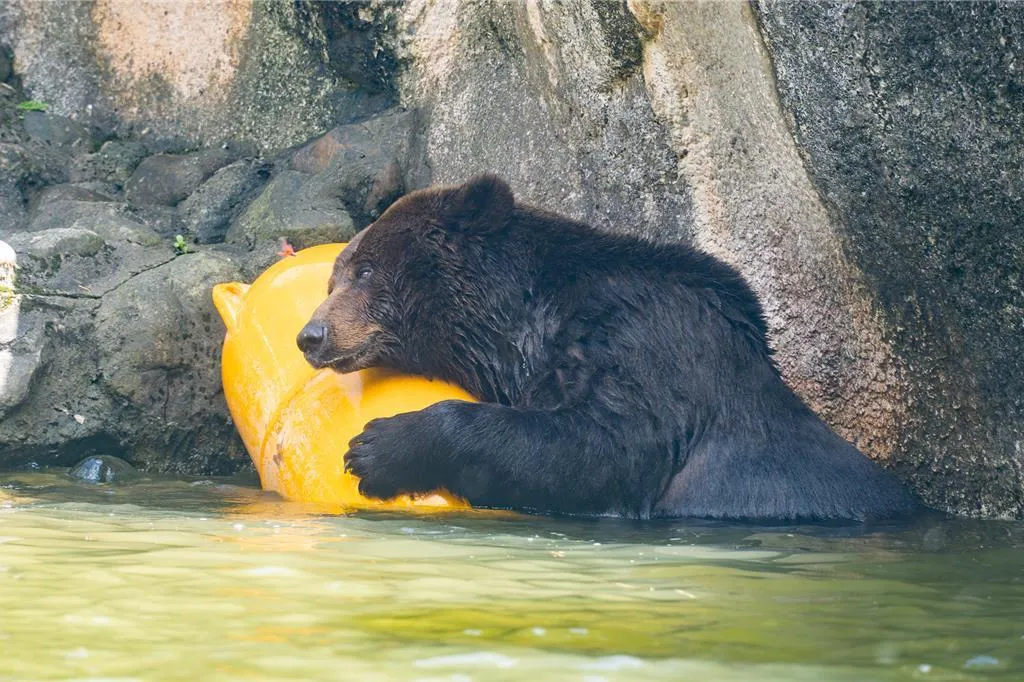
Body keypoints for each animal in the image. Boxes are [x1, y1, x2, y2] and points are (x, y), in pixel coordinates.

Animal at [297, 174, 918, 521]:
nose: (311, 336)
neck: (525, 326)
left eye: (365, 270)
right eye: (333, 279)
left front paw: (377, 448)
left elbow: (605, 447)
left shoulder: (644, 343)